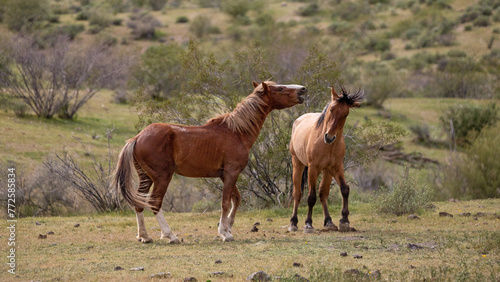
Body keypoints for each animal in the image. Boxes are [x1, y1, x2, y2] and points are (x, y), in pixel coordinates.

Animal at [113, 81, 306, 242]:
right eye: (280, 88)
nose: (303, 90)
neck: (236, 132)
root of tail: (137, 138)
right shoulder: (231, 173)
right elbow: (226, 202)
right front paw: (225, 234)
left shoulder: (225, 175)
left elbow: (236, 199)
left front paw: (227, 228)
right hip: (162, 177)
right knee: (155, 203)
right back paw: (170, 236)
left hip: (145, 177)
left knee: (139, 203)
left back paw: (144, 236)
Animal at [290, 85, 364, 234]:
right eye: (331, 109)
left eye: (345, 114)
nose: (329, 137)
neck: (327, 145)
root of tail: (298, 120)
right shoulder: (313, 169)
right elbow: (311, 197)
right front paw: (308, 224)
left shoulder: (336, 168)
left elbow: (344, 189)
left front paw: (344, 221)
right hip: (297, 164)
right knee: (297, 193)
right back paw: (293, 223)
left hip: (327, 172)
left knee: (323, 193)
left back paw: (329, 221)